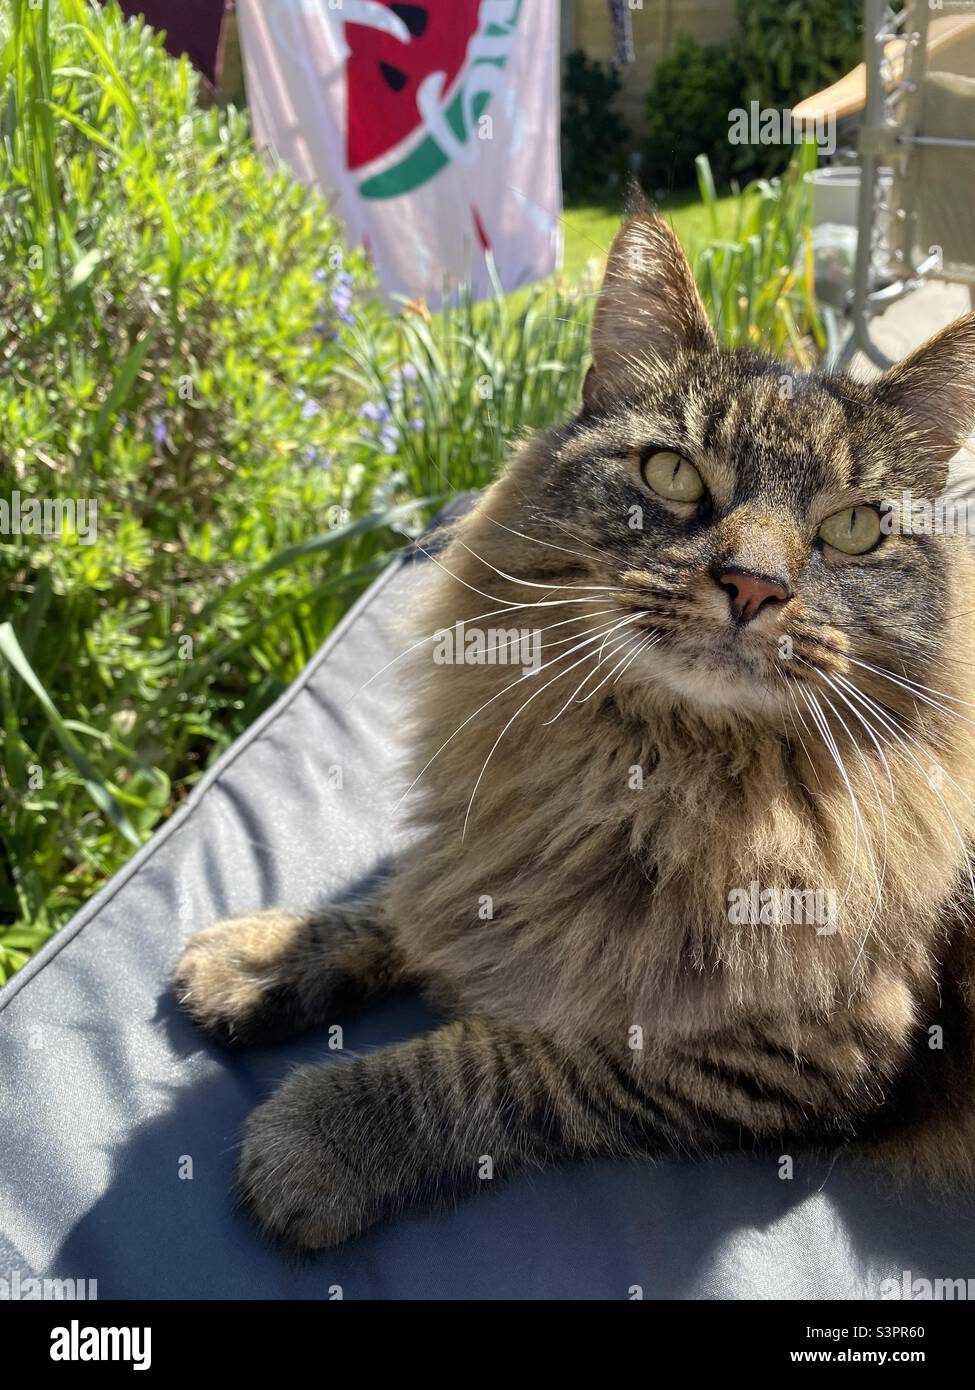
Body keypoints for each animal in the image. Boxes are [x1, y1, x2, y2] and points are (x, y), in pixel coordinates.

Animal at [171, 202, 973, 1251]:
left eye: (852, 530)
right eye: (671, 472)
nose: (754, 585)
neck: (649, 769)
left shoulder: (793, 1055)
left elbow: (502, 1063)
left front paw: (320, 1134)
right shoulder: (506, 838)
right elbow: (405, 899)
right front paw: (261, 957)